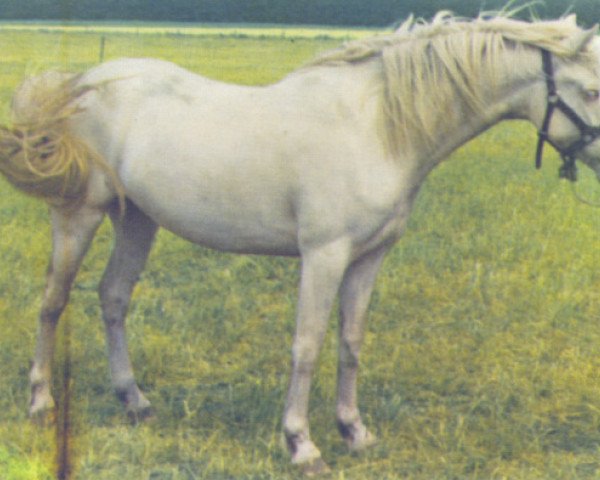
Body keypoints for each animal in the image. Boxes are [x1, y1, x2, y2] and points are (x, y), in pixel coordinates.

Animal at [1, 13, 600, 474]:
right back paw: (40, 403)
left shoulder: (369, 258)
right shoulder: (324, 254)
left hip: (137, 220)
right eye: (591, 90)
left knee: (113, 297)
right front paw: (301, 444)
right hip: (79, 214)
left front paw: (355, 431)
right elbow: (307, 346)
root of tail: (83, 82)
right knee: (53, 302)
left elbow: (351, 343)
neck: (376, 127)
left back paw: (135, 402)